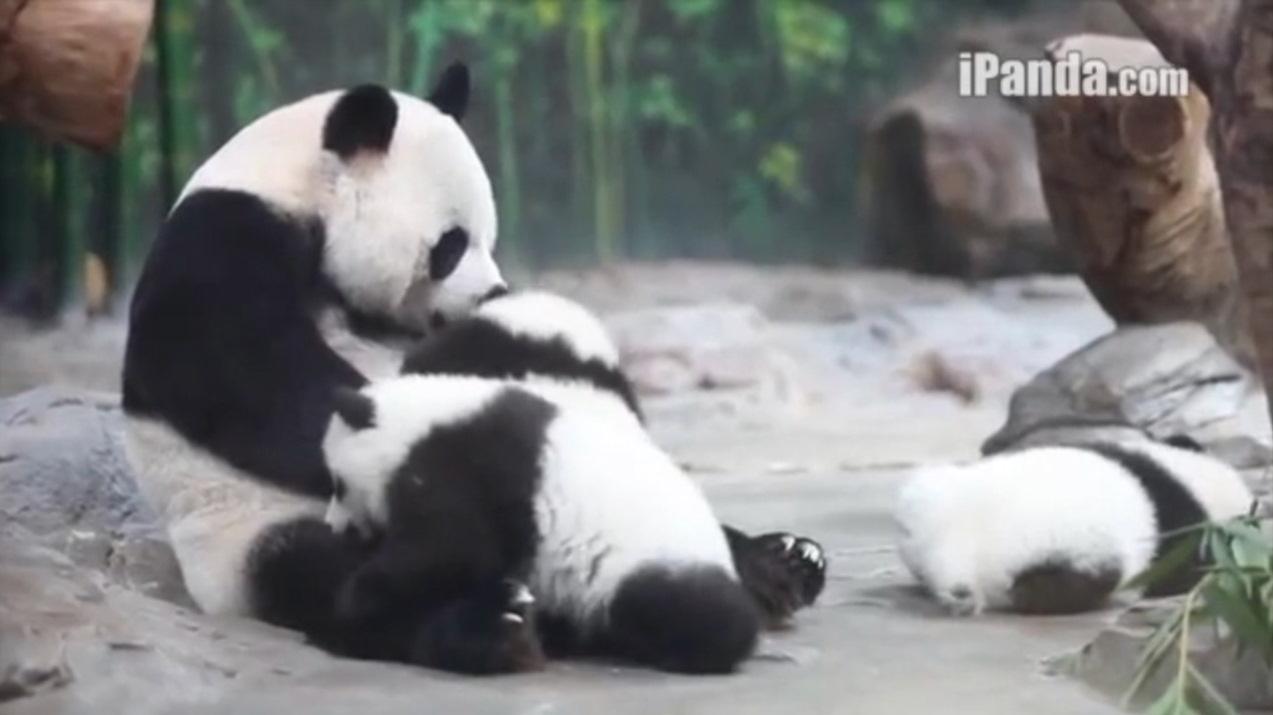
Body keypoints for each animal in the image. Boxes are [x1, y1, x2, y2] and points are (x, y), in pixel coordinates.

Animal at [121, 64, 508, 640]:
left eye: (490, 238)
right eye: (452, 244)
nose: (494, 294)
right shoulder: (222, 237)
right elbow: (242, 373)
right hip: (247, 531)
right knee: (331, 575)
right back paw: (489, 620)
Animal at [320, 373, 760, 675]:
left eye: (338, 485)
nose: (335, 529)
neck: (414, 424)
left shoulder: (466, 466)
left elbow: (452, 549)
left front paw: (359, 593)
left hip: (649, 560)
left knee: (688, 609)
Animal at [894, 438, 1255, 616]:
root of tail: (956, 556)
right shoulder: (1182, 529)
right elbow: (1187, 567)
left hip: (929, 500)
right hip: (1078, 542)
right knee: (1086, 578)